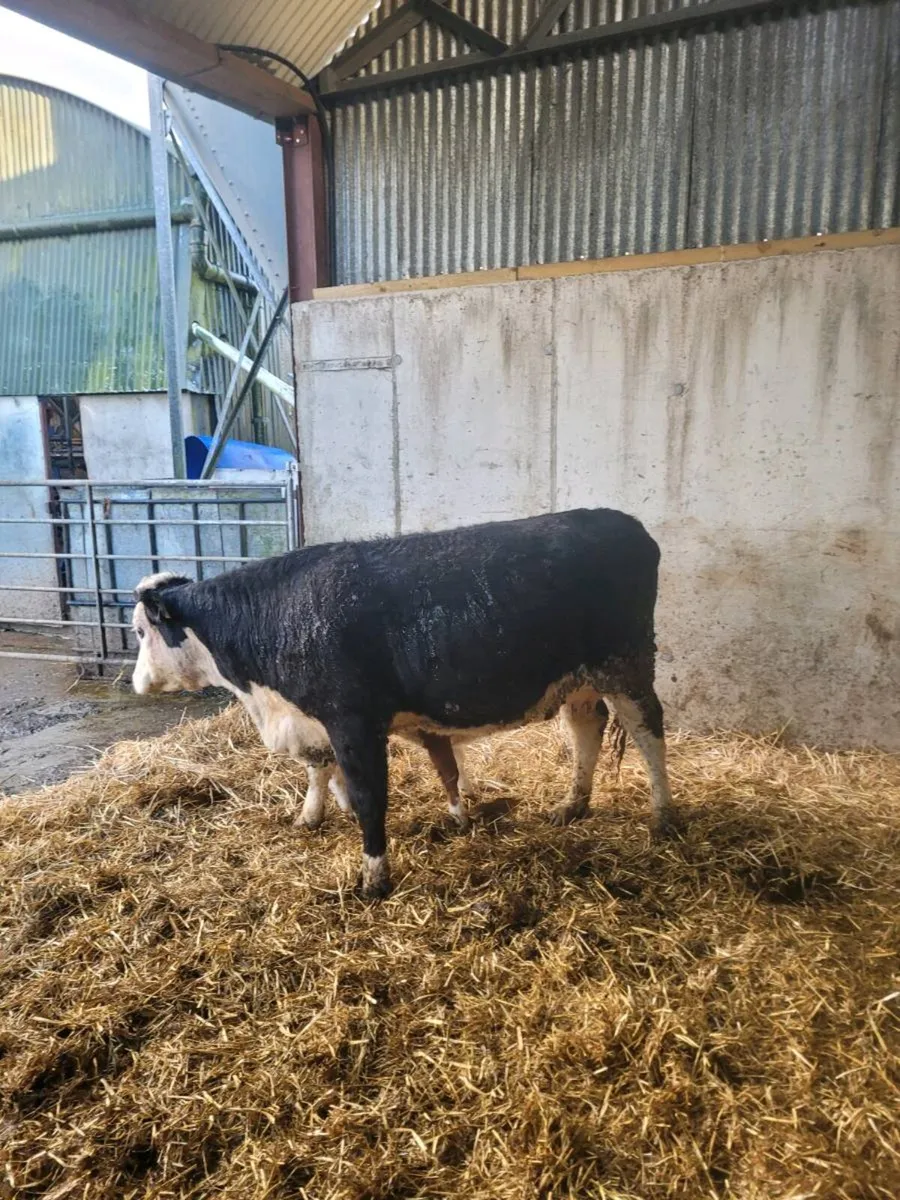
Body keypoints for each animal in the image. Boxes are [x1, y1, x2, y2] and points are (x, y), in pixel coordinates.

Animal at [131, 508, 677, 898]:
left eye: (139, 631)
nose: (137, 682)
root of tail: (622, 522)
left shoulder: (353, 721)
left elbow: (369, 797)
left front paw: (374, 878)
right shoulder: (315, 721)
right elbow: (319, 769)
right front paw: (311, 817)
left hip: (626, 664)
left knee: (648, 730)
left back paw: (663, 816)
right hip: (578, 678)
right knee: (587, 726)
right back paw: (573, 805)